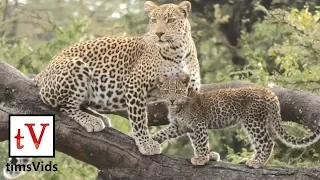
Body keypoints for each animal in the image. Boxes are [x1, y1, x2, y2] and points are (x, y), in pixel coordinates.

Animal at [2, 1, 200, 179]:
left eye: (170, 20)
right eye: (153, 20)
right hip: (75, 67)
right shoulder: (135, 85)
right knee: (64, 106)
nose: (159, 33)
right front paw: (145, 143)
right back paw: (90, 120)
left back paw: (98, 116)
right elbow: (139, 120)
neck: (178, 52)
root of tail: (43, 72)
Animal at [151, 74, 320, 168]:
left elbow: (201, 143)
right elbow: (166, 135)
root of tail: (269, 92)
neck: (176, 108)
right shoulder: (181, 126)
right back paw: (250, 160)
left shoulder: (198, 125)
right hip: (252, 122)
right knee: (260, 144)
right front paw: (149, 143)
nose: (172, 100)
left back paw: (258, 163)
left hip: (253, 121)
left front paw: (203, 158)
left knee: (267, 142)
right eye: (166, 91)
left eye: (178, 91)